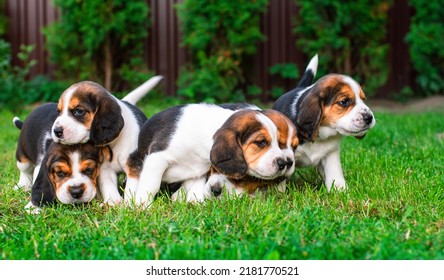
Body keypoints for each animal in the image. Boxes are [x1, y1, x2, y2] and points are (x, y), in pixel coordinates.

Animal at [50, 75, 163, 205]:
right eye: (59, 112)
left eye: (79, 111)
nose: (56, 131)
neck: (113, 144)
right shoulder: (105, 168)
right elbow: (108, 186)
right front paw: (114, 202)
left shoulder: (135, 165)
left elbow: (132, 187)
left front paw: (130, 205)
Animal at [125, 104, 296, 207]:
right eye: (261, 142)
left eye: (278, 143)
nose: (283, 163)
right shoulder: (157, 157)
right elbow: (151, 186)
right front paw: (142, 207)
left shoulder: (197, 173)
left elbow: (193, 188)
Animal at [272, 54, 376, 190]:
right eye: (344, 101)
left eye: (363, 99)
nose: (369, 117)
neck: (322, 134)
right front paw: (277, 192)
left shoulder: (331, 153)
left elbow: (335, 173)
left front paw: (340, 190)